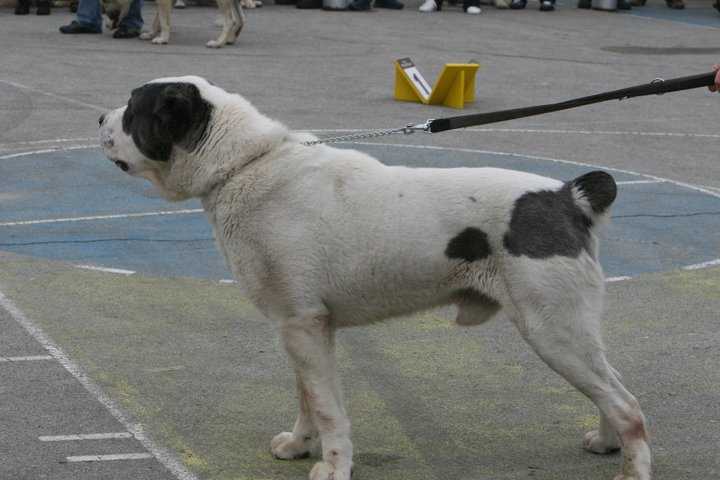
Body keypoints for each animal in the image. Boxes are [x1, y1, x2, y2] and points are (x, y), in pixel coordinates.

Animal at [100, 75, 652, 480]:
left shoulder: (305, 325)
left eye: (131, 110)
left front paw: (332, 465)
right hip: (570, 330)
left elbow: (327, 408)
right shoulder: (299, 327)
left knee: (628, 406)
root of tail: (568, 197)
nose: (99, 116)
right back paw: (607, 443)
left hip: (553, 330)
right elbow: (306, 395)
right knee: (615, 388)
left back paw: (631, 466)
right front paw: (299, 444)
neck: (242, 164)